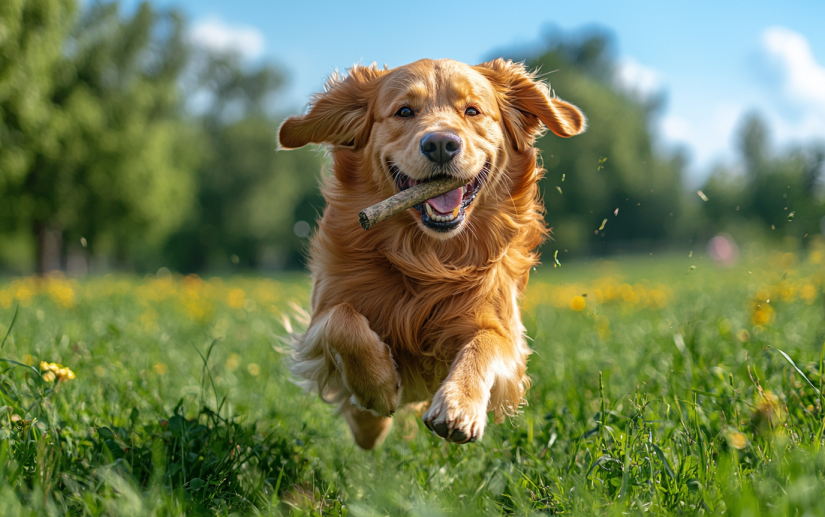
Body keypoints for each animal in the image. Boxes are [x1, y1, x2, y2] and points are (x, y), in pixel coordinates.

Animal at [278, 57, 584, 448]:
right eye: (404, 111)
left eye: (472, 111)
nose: (440, 143)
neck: (428, 259)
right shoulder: (322, 314)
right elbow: (341, 321)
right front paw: (377, 388)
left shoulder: (505, 332)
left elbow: (484, 343)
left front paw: (458, 406)